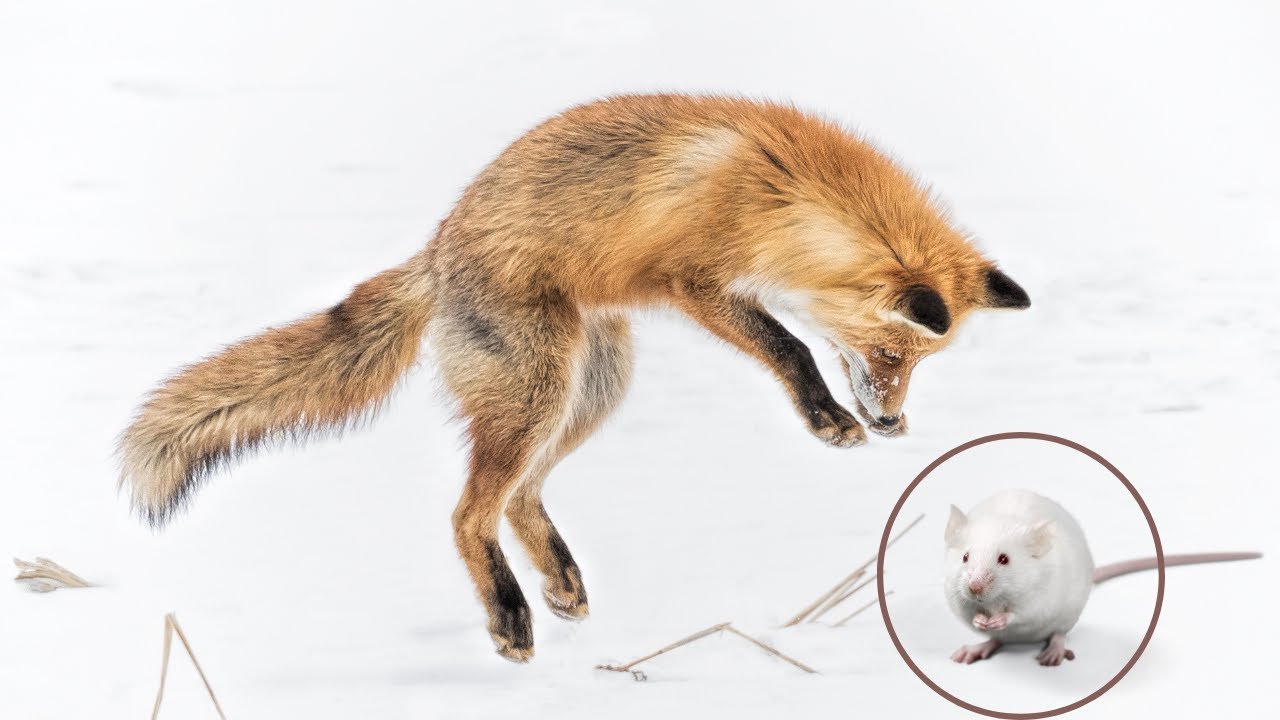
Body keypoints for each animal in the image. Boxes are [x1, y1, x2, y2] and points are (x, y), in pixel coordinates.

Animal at [119, 94, 1030, 662]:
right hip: (539, 391)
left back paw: (557, 581)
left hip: (592, 388)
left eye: (916, 365)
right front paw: (826, 416)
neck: (780, 193)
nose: (891, 423)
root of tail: (438, 249)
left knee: (521, 497)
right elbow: (790, 347)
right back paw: (510, 614)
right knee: (469, 513)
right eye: (892, 356)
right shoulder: (696, 284)